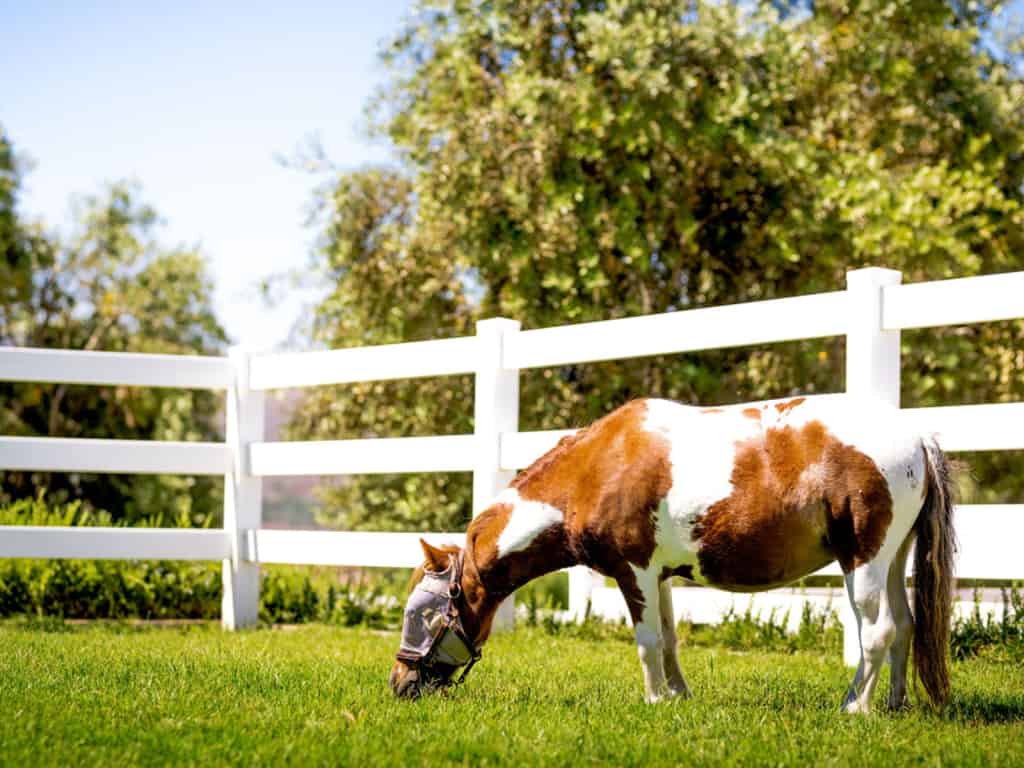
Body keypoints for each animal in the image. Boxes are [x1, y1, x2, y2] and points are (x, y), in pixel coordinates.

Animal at [390, 395, 957, 713]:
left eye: (421, 613)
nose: (398, 683)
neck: (597, 470)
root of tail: (917, 437)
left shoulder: (634, 572)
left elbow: (646, 641)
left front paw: (653, 698)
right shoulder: (659, 576)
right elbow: (668, 639)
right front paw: (677, 696)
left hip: (863, 562)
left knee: (878, 631)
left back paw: (855, 706)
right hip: (892, 560)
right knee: (905, 625)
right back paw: (895, 702)